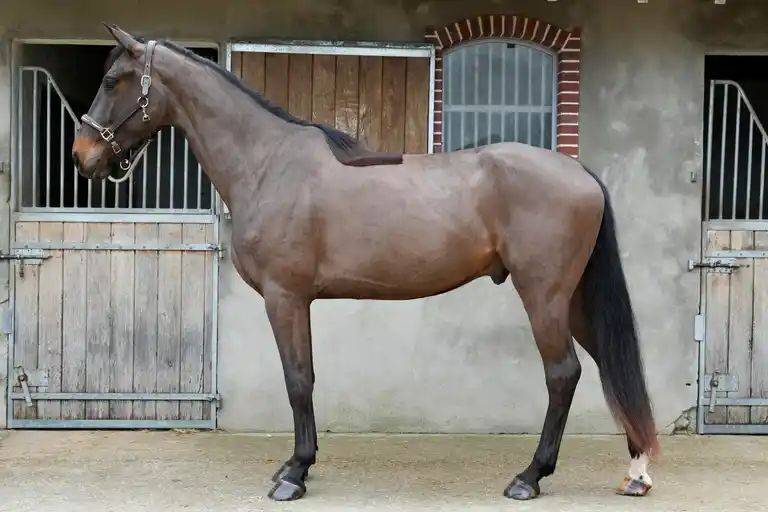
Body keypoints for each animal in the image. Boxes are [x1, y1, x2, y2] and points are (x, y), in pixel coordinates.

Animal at [73, 25, 659, 502]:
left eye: (112, 81)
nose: (82, 156)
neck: (267, 163)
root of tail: (579, 173)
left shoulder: (286, 297)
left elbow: (298, 380)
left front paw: (294, 474)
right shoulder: (297, 300)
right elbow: (305, 377)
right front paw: (296, 466)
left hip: (543, 296)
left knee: (563, 373)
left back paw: (530, 477)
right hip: (571, 299)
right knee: (607, 363)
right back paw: (636, 471)